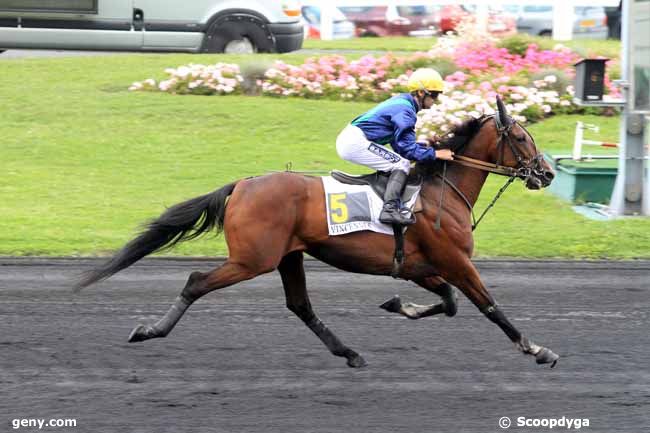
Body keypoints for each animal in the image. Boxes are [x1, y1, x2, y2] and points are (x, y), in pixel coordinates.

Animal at [74, 97, 556, 368]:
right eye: (521, 137)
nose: (547, 173)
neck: (440, 191)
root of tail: (242, 185)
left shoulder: (418, 266)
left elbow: (449, 303)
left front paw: (399, 305)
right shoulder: (455, 260)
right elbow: (487, 305)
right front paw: (537, 349)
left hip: (288, 256)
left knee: (300, 306)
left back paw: (350, 353)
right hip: (253, 258)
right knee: (196, 282)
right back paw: (149, 331)